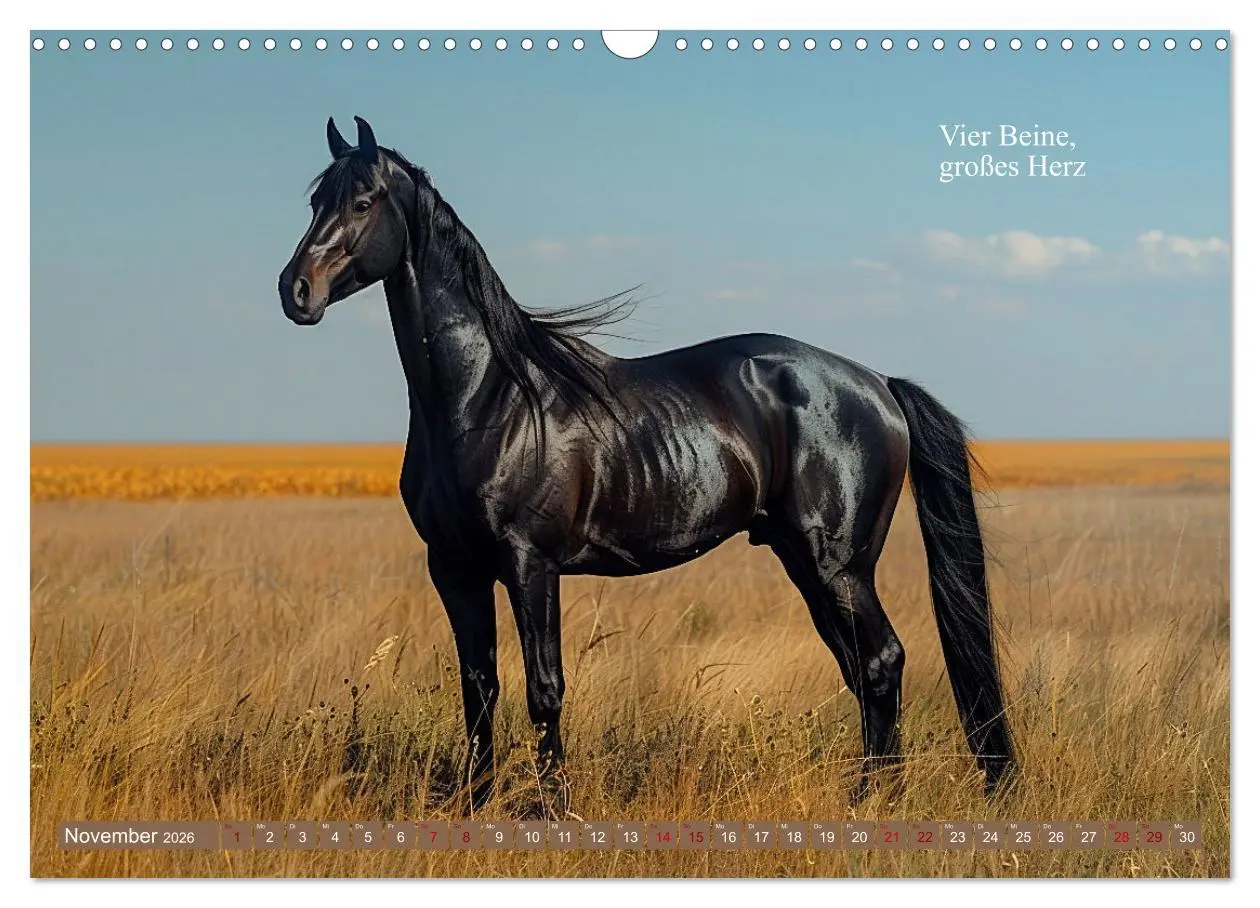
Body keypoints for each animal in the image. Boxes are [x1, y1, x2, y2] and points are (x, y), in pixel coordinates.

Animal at [278, 116, 1016, 811]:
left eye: (363, 201)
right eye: (316, 200)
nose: (296, 291)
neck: (487, 396)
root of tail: (878, 384)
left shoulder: (530, 563)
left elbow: (544, 688)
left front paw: (552, 809)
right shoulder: (454, 567)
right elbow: (479, 686)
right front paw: (474, 802)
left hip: (839, 566)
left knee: (883, 661)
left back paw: (876, 798)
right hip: (804, 562)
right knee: (861, 668)